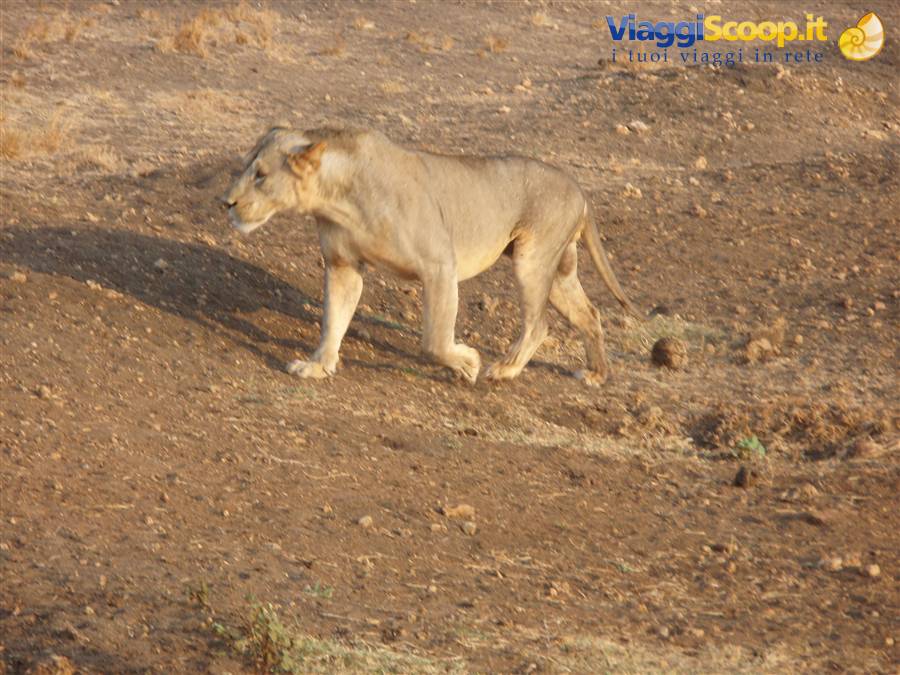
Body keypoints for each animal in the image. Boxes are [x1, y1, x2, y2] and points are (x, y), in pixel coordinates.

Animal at [222, 127, 639, 384]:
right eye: (246, 168)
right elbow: (333, 320)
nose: (227, 202)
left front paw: (468, 363)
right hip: (559, 270)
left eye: (260, 175)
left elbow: (434, 341)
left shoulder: (439, 264)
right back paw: (596, 374)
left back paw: (502, 371)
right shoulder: (343, 265)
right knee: (589, 313)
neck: (338, 198)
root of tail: (579, 189)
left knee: (539, 325)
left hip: (532, 260)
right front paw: (317, 366)